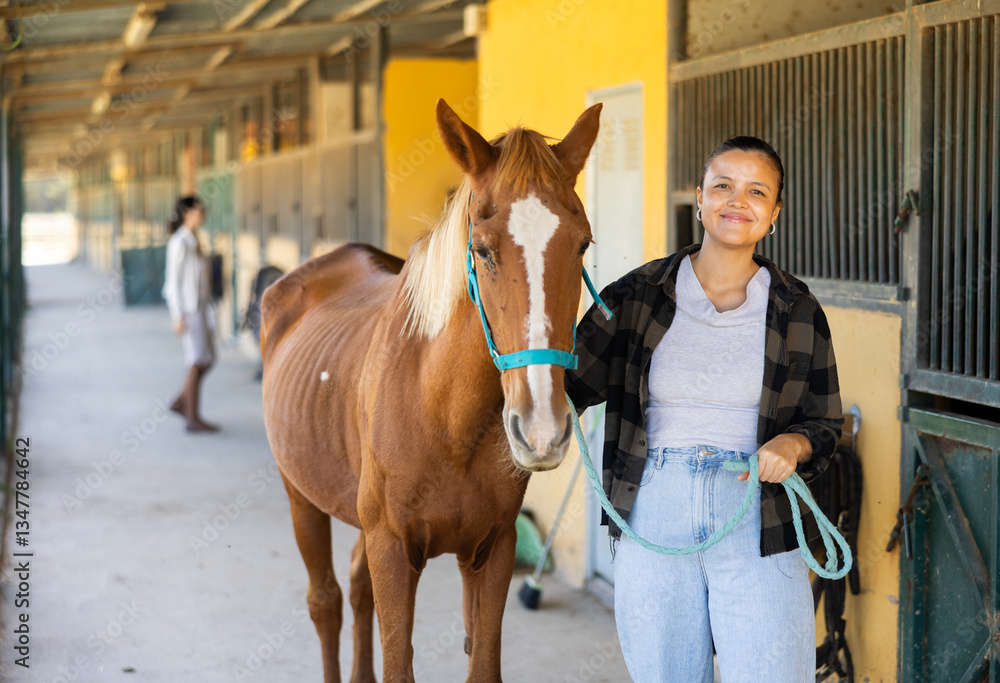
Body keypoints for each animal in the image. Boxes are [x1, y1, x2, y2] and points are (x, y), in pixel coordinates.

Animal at [260, 98, 602, 682]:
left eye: (582, 245)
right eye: (482, 250)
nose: (542, 430)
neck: (445, 416)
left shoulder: (492, 550)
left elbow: (481, 663)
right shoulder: (393, 551)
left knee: (356, 589)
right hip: (299, 494)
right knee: (325, 601)